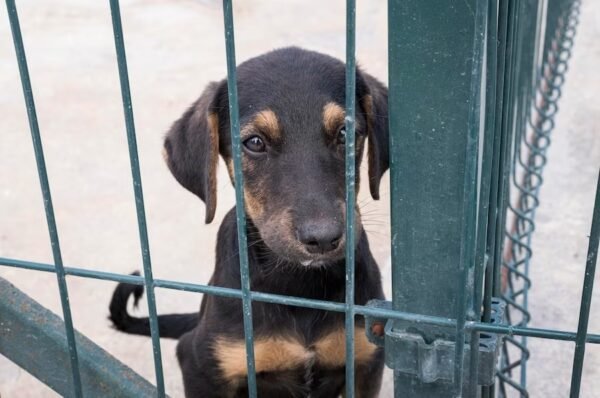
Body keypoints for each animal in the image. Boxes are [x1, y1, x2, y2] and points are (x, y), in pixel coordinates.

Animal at [109, 47, 390, 398]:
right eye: (255, 143)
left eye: (346, 133)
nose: (323, 238)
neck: (297, 285)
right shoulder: (202, 362)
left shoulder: (366, 360)